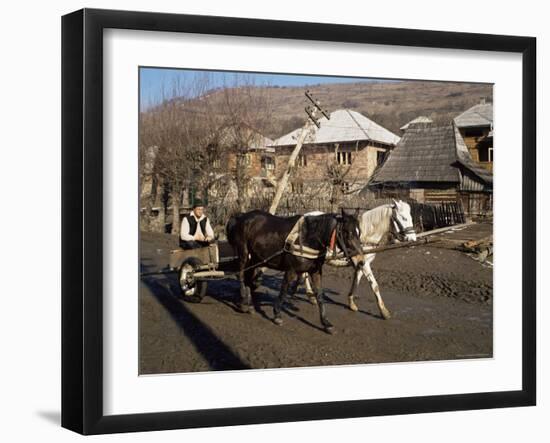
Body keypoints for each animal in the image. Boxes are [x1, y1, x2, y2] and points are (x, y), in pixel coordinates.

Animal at [226, 211, 364, 332]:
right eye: (347, 232)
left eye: (359, 232)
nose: (361, 261)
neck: (307, 237)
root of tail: (241, 216)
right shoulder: (291, 270)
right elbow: (283, 290)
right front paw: (277, 315)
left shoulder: (315, 272)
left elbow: (319, 295)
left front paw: (326, 323)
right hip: (244, 254)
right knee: (241, 275)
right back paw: (243, 300)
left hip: (256, 258)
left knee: (249, 277)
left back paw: (248, 305)